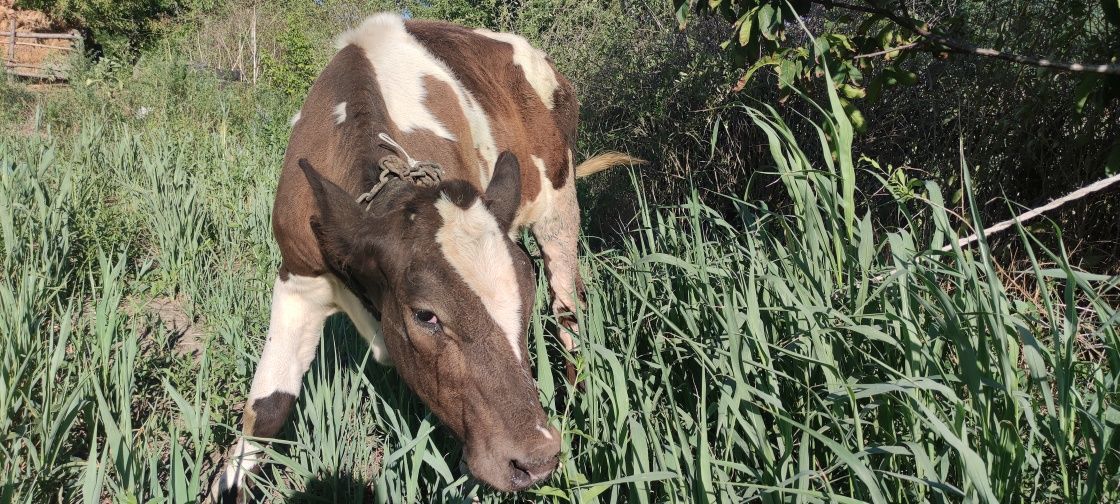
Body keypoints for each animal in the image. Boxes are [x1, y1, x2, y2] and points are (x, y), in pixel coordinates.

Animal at [206, 11, 636, 499]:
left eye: (526, 302)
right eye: (425, 315)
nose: (537, 458)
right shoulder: (298, 275)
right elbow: (267, 409)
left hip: (559, 204)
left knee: (568, 306)